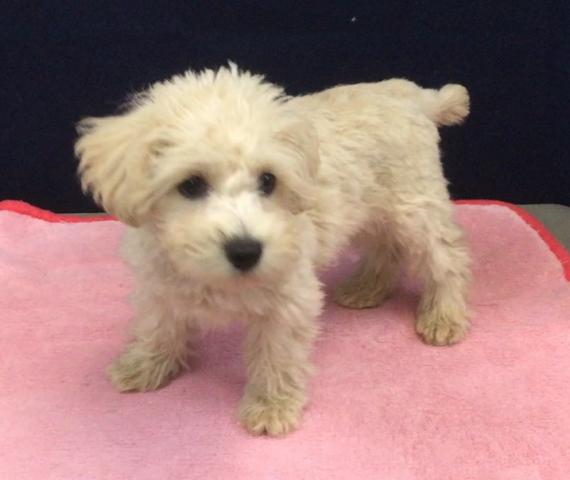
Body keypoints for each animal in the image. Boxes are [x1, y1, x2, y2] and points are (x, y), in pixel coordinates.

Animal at [75, 64, 471, 436]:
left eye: (268, 180)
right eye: (191, 184)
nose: (246, 250)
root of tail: (412, 94)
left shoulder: (289, 297)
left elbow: (276, 354)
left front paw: (272, 406)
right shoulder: (158, 281)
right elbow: (157, 324)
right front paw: (144, 364)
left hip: (414, 206)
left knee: (448, 257)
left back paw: (445, 314)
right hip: (369, 210)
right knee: (387, 248)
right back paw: (367, 288)